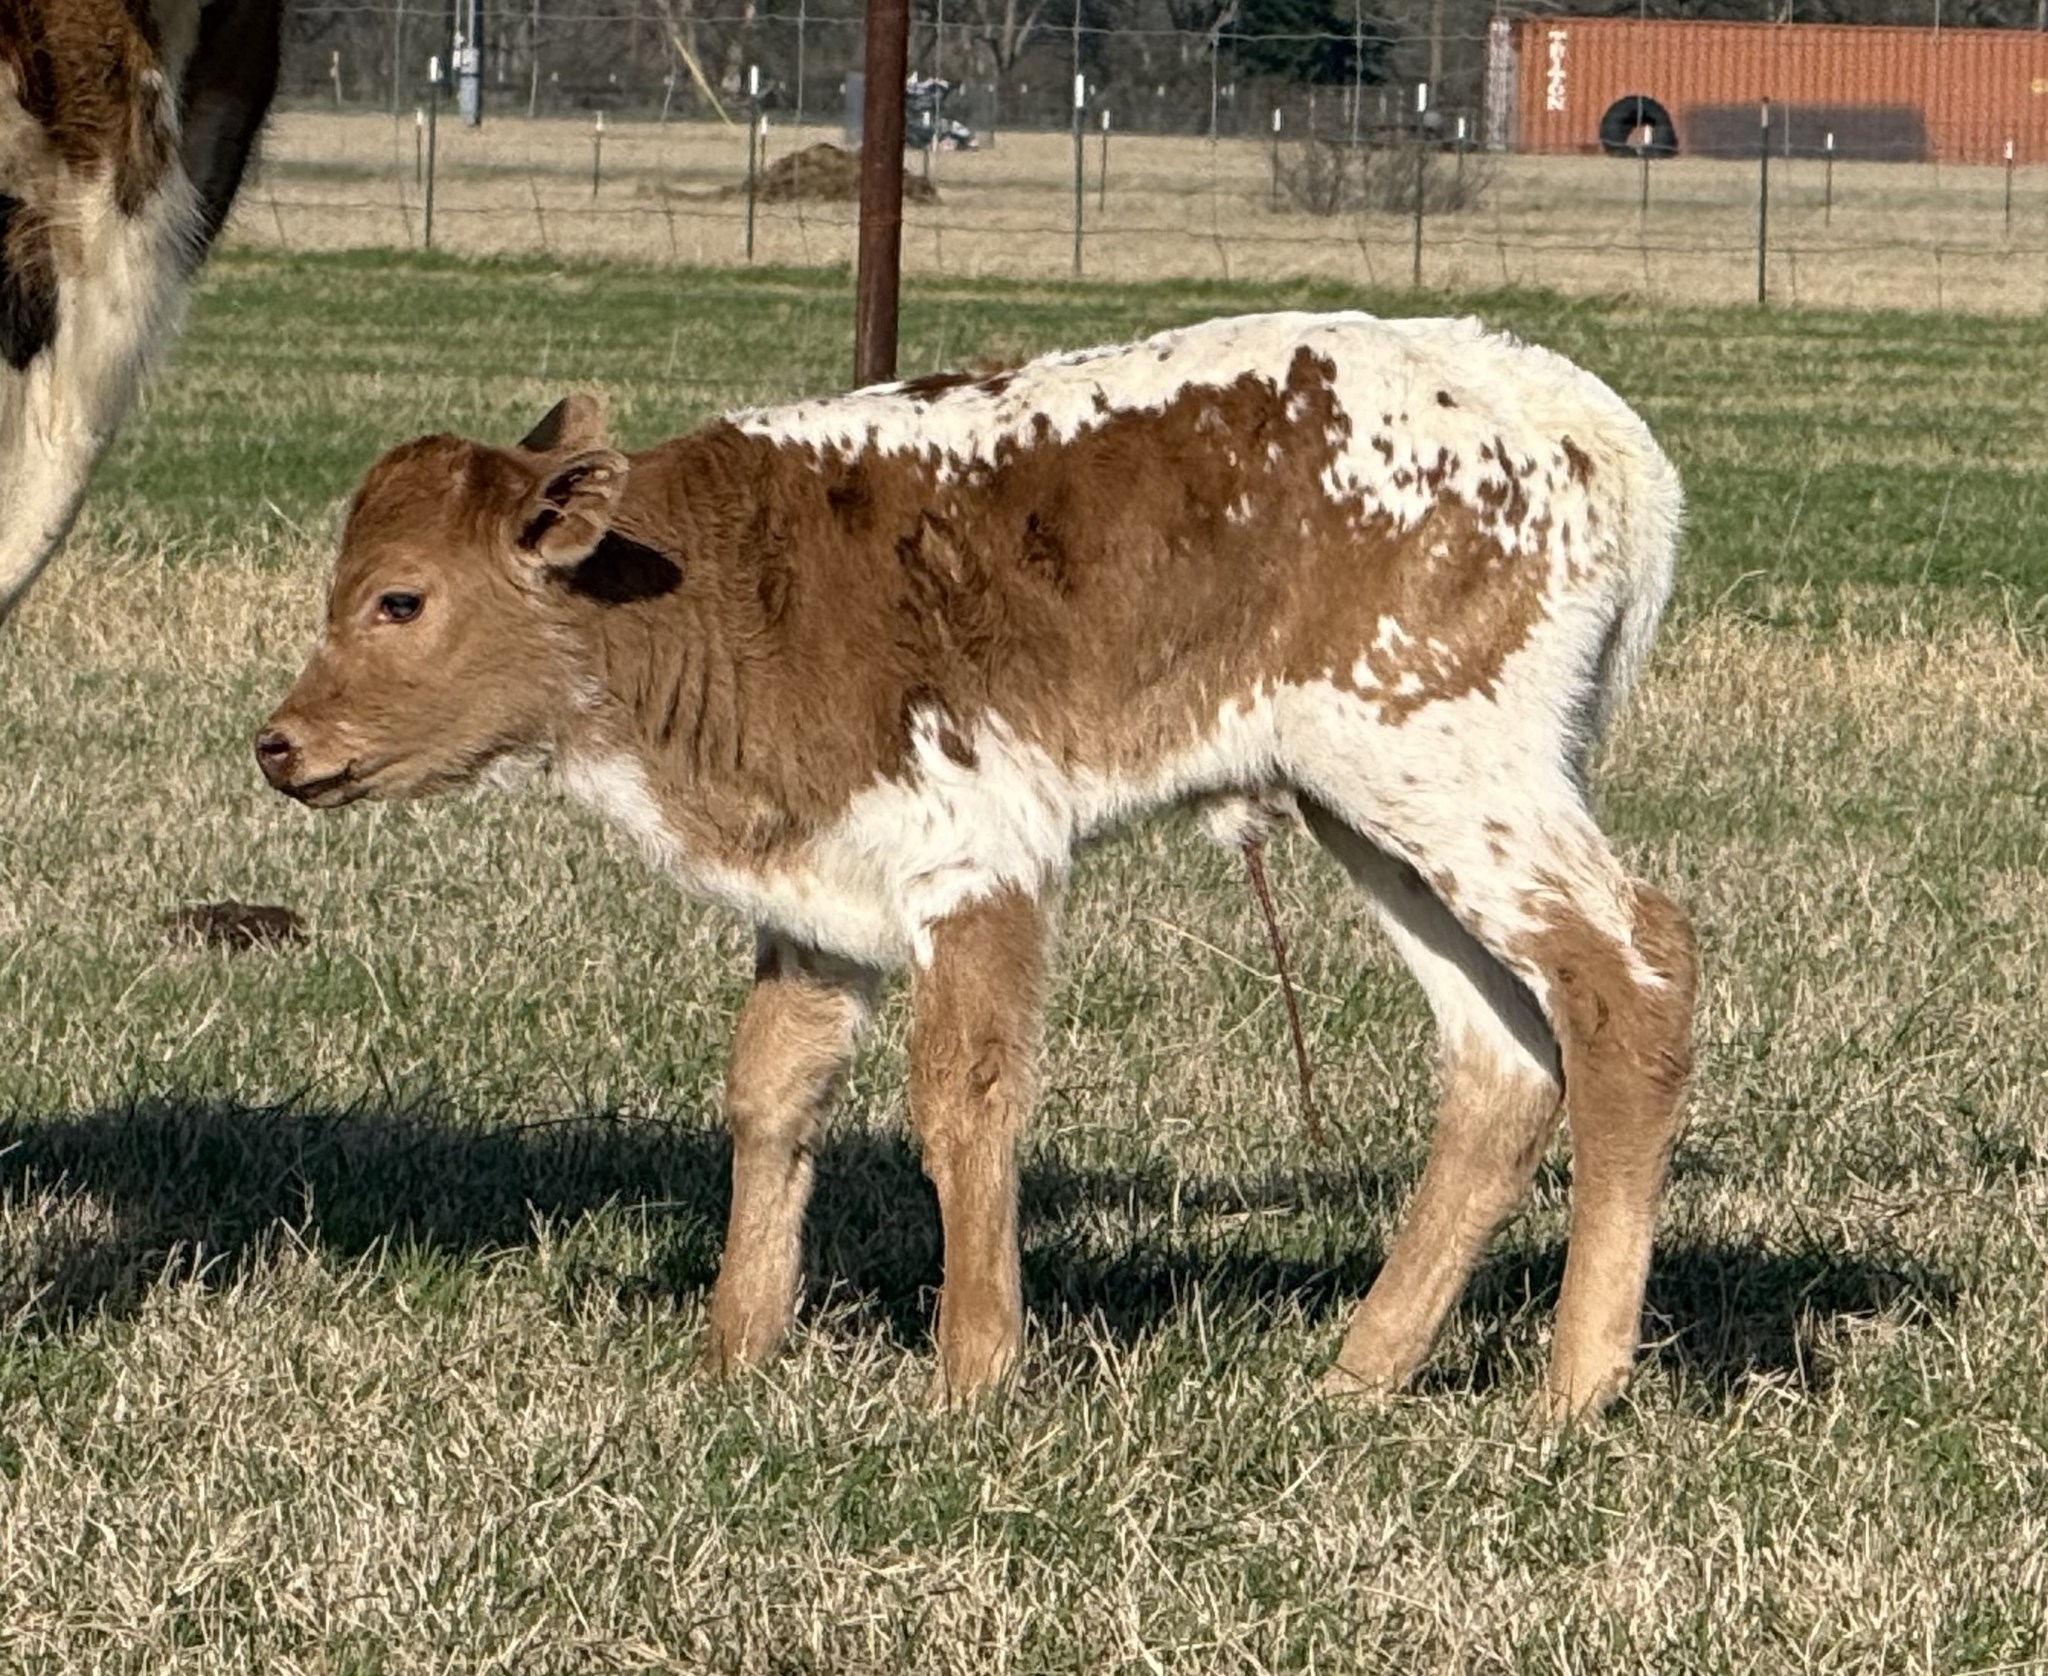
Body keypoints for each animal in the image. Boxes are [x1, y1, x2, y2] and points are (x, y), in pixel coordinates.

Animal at [257, 311, 1698, 1420]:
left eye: (399, 600)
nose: (281, 743)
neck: (721, 593)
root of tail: (1577, 416)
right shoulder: (816, 892)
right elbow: (772, 1092)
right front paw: (735, 1351)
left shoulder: (975, 859)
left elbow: (962, 1101)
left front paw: (970, 1374)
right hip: (1374, 810)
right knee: (1501, 1055)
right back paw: (1360, 1373)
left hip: (1454, 773)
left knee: (1633, 973)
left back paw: (1574, 1386)